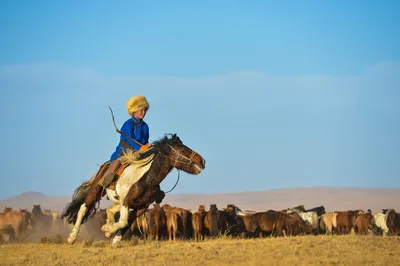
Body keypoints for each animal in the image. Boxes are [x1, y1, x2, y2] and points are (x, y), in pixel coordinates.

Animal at [63, 135, 206, 247]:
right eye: (183, 149)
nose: (202, 160)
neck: (147, 179)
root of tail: (105, 165)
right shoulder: (126, 202)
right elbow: (123, 221)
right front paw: (108, 229)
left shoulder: (141, 207)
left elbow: (126, 223)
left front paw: (114, 239)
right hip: (96, 191)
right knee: (83, 208)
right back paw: (71, 237)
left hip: (118, 200)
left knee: (110, 210)